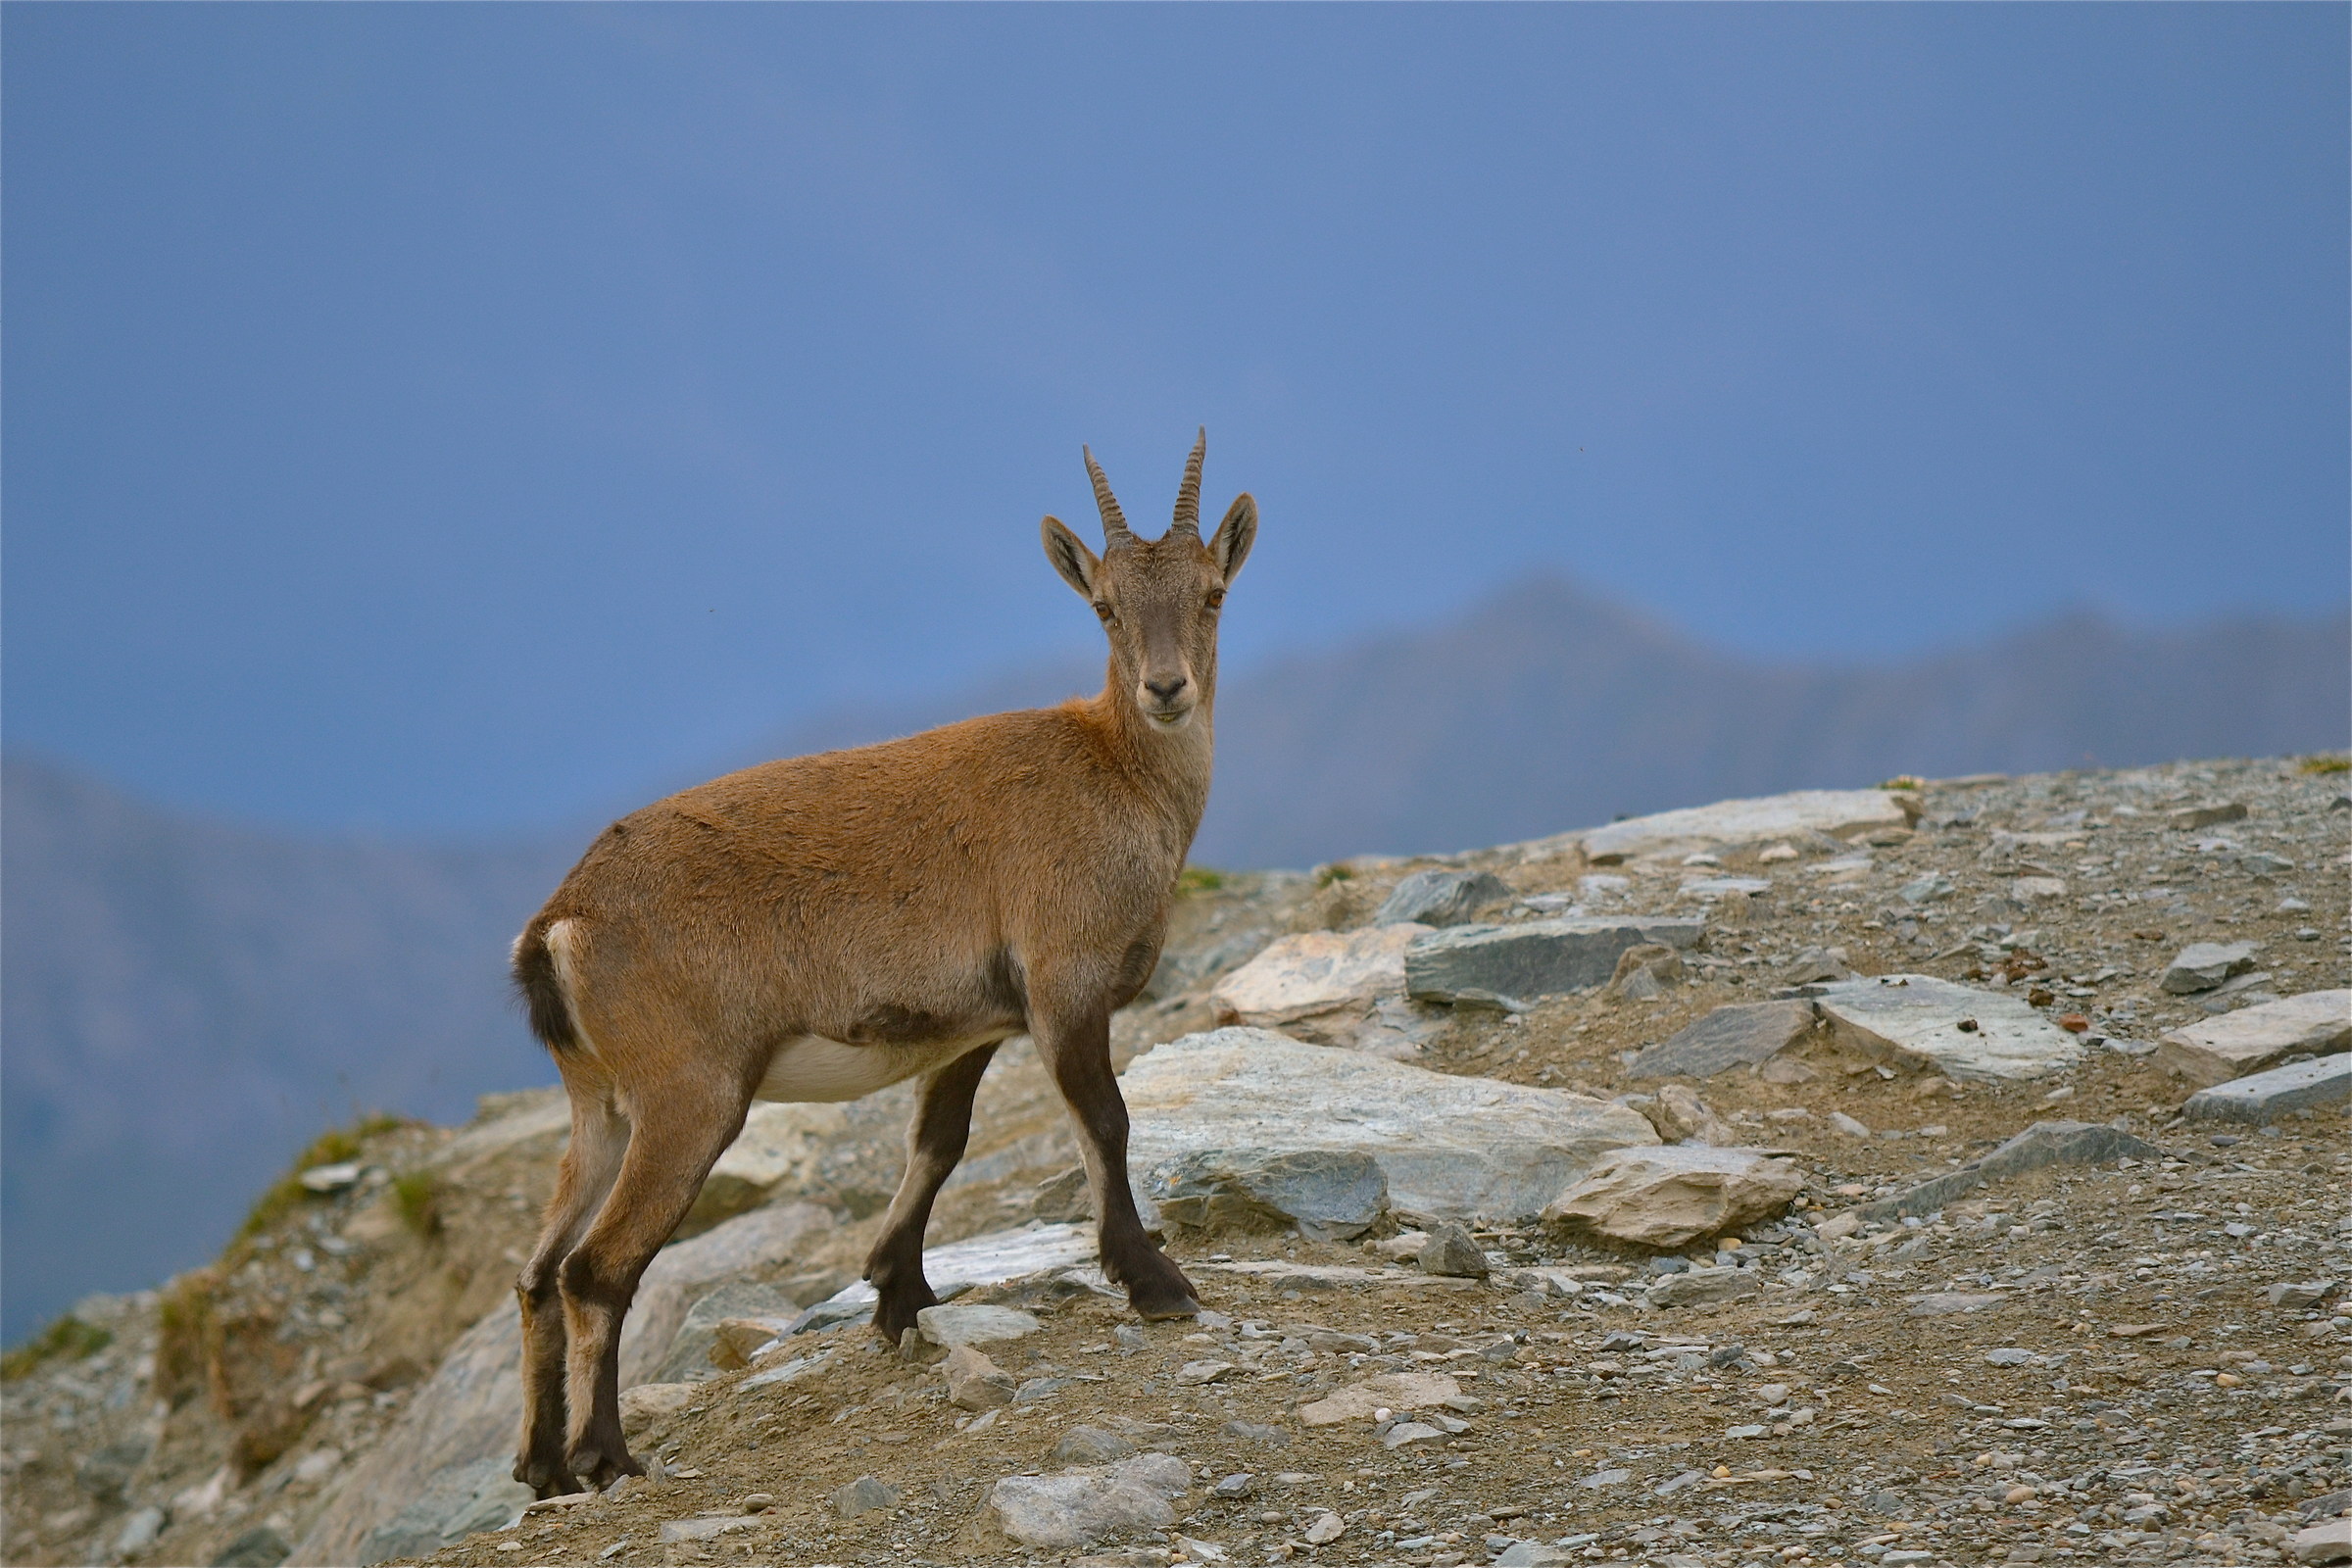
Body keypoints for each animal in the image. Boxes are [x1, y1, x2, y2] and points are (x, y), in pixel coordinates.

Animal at [506, 431, 1256, 1496]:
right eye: (1106, 605)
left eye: (1212, 593)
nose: (1166, 690)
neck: (1115, 773)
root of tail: (559, 926)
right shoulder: (1062, 980)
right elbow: (1104, 1120)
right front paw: (1155, 1282)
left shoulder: (975, 1024)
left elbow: (937, 1142)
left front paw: (900, 1293)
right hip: (690, 1094)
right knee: (595, 1270)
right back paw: (605, 1455)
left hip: (600, 1105)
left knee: (537, 1270)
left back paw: (542, 1466)